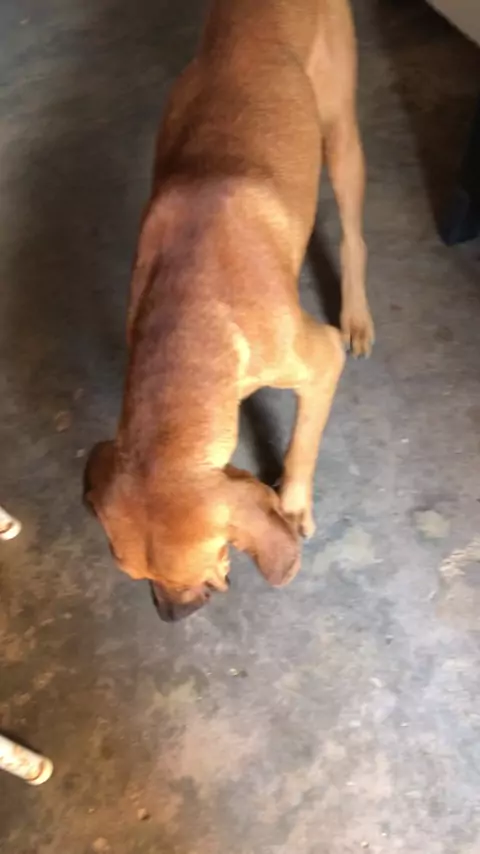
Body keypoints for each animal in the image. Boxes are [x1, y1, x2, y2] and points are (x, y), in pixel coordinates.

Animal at [85, 0, 374, 621]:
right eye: (132, 574)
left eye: (198, 566)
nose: (170, 617)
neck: (187, 320)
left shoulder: (320, 360)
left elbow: (302, 442)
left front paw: (293, 505)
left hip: (340, 133)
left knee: (353, 236)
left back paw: (359, 312)